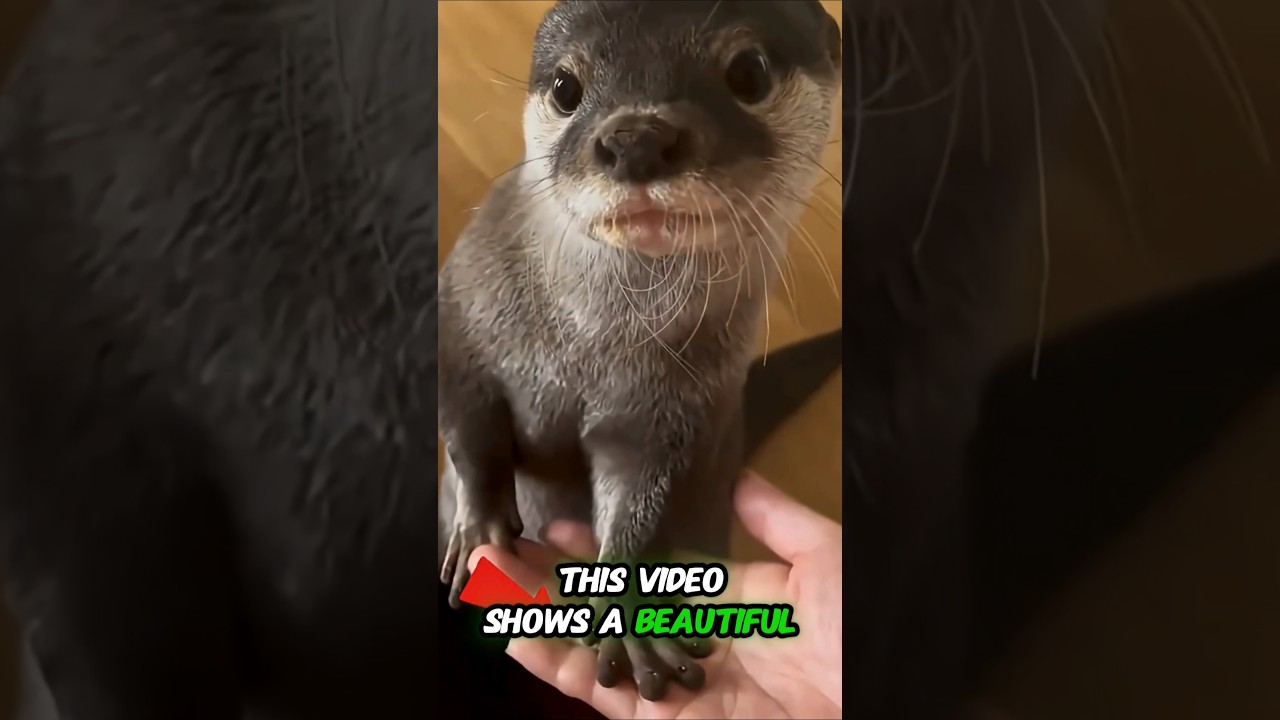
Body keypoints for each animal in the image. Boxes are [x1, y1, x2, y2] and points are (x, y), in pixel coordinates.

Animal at [437, 0, 841, 703]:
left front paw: (628, 620)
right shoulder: (461, 309)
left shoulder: (673, 411)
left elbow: (642, 501)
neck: (580, 345)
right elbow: (468, 427)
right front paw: (482, 526)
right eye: (566, 87)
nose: (637, 138)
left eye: (749, 72)